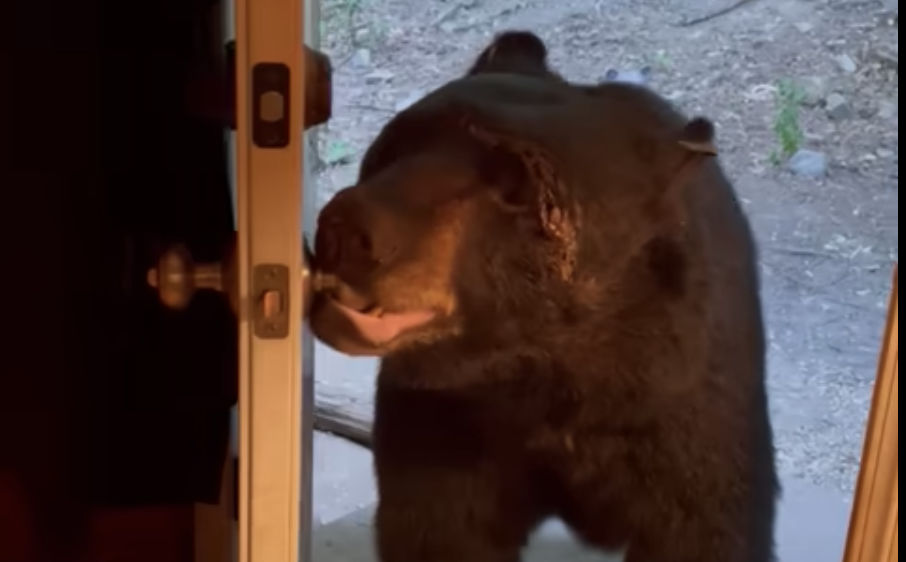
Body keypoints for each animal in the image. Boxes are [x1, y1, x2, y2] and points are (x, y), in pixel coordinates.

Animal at [309, 30, 779, 562]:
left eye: (521, 188)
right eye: (400, 139)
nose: (348, 231)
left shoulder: (685, 404)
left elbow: (702, 525)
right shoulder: (448, 421)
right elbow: (440, 525)